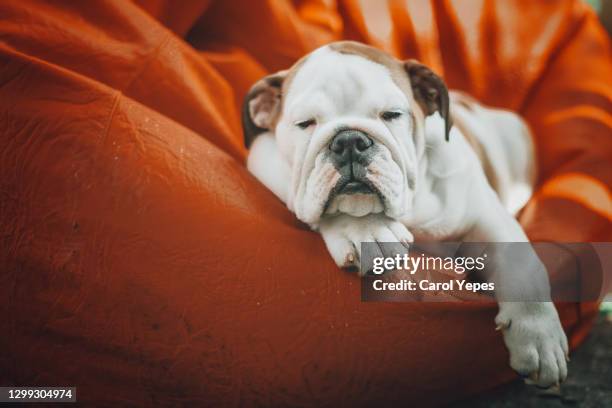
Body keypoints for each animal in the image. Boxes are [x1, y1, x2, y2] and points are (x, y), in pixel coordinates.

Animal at [243, 41, 568, 388]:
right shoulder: (264, 161)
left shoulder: (485, 214)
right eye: (305, 123)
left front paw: (539, 336)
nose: (349, 140)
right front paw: (367, 229)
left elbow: (524, 266)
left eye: (392, 115)